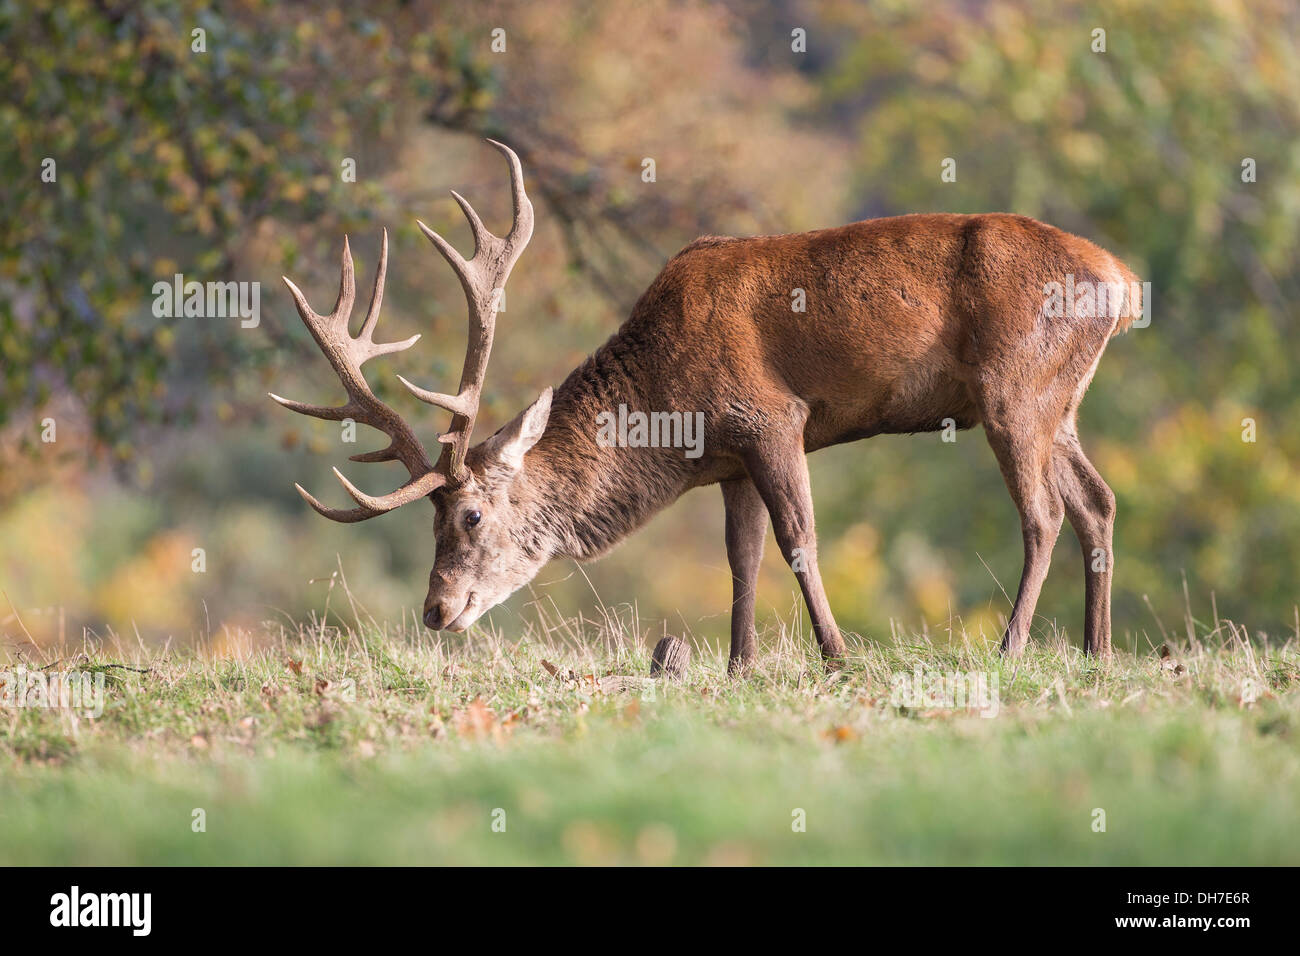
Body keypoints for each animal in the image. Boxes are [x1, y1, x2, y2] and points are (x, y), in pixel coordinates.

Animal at [271, 140, 1138, 671]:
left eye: (471, 516)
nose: (434, 610)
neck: (668, 414)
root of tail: (1123, 280)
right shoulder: (729, 462)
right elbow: (741, 559)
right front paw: (736, 663)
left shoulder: (771, 417)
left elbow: (799, 539)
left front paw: (837, 654)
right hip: (1060, 401)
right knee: (1098, 500)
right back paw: (1096, 650)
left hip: (1013, 390)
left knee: (1044, 513)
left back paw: (1013, 646)